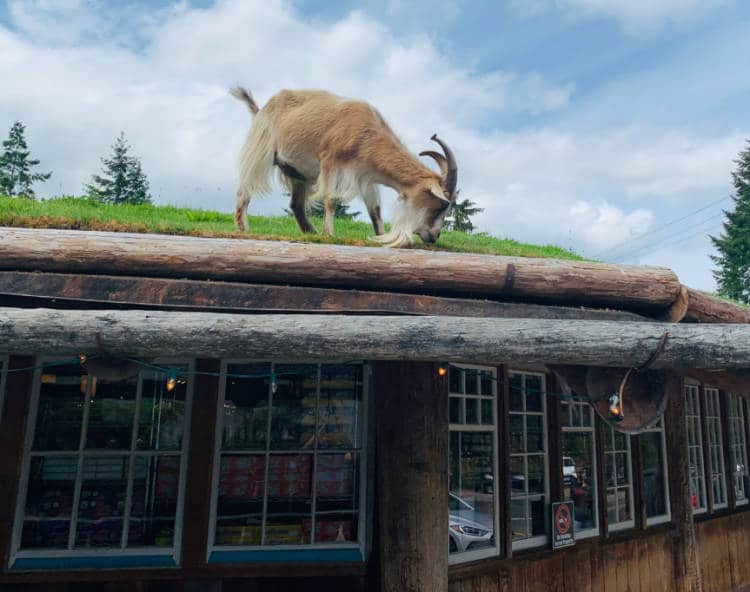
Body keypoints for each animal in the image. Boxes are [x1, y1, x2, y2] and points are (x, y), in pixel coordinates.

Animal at [230, 87, 458, 247]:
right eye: (441, 204)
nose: (434, 236)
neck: (368, 133)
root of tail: (262, 109)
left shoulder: (365, 176)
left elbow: (375, 209)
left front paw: (380, 235)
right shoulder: (331, 162)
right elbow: (331, 200)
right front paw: (329, 233)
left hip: (298, 174)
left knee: (296, 204)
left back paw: (310, 231)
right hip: (261, 149)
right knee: (245, 189)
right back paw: (243, 228)